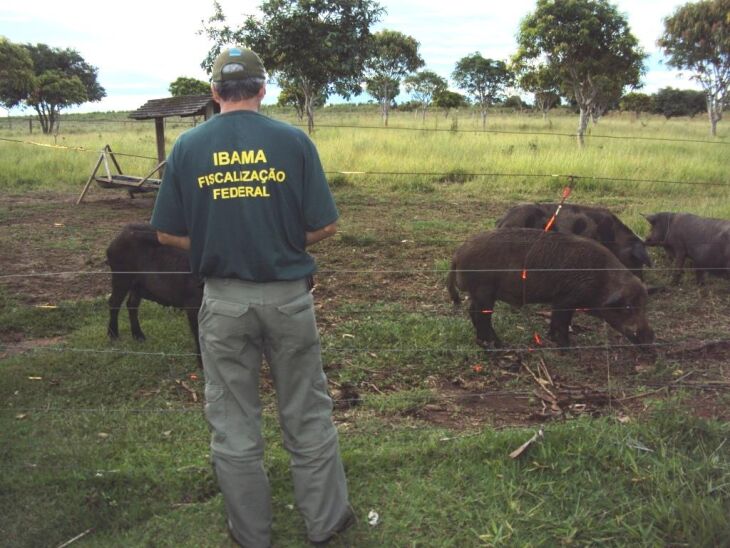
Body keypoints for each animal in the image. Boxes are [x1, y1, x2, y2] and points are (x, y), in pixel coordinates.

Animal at [444, 228, 656, 348]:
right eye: (628, 307)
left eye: (645, 305)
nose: (651, 338)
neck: (601, 281)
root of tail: (458, 254)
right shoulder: (566, 298)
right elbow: (562, 321)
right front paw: (567, 347)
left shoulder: (560, 300)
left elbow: (557, 320)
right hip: (484, 290)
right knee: (481, 315)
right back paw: (495, 345)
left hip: (479, 293)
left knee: (473, 312)